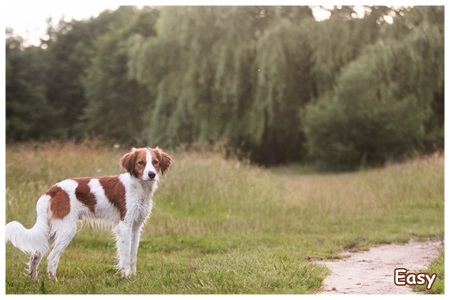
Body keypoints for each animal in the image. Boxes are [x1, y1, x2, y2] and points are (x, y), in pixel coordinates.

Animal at [5, 146, 174, 280]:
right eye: (141, 163)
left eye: (155, 162)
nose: (151, 174)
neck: (139, 186)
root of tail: (53, 189)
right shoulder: (124, 226)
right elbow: (125, 256)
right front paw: (126, 277)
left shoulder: (136, 227)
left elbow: (133, 255)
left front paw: (133, 277)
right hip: (67, 229)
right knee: (52, 257)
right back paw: (54, 282)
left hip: (51, 230)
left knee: (35, 254)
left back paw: (34, 281)